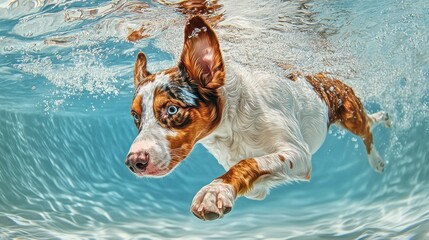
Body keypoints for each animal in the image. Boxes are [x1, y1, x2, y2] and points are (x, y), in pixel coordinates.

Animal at [124, 15, 392, 220]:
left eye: (171, 110)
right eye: (135, 116)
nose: (133, 163)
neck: (233, 125)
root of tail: (325, 75)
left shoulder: (299, 154)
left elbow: (249, 162)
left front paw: (215, 191)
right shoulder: (257, 186)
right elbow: (250, 171)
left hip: (351, 116)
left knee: (366, 131)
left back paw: (377, 160)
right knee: (370, 120)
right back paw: (385, 116)